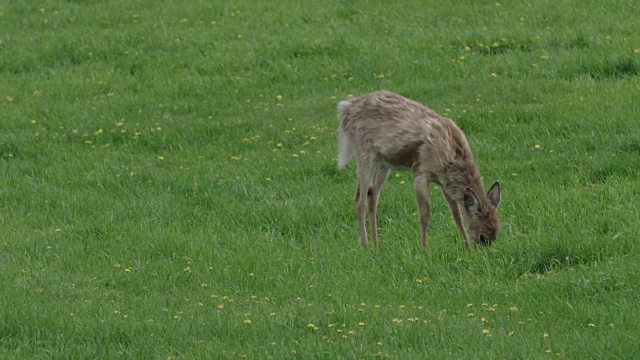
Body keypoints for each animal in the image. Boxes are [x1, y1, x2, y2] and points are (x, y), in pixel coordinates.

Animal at [336, 90, 500, 249]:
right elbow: (424, 213)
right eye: (482, 236)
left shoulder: (444, 182)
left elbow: (456, 213)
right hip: (365, 154)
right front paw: (424, 247)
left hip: (383, 164)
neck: (451, 156)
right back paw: (365, 245)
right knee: (360, 200)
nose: (481, 248)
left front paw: (465, 246)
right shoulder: (421, 171)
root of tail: (345, 108)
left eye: (495, 235)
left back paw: (376, 244)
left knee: (372, 195)